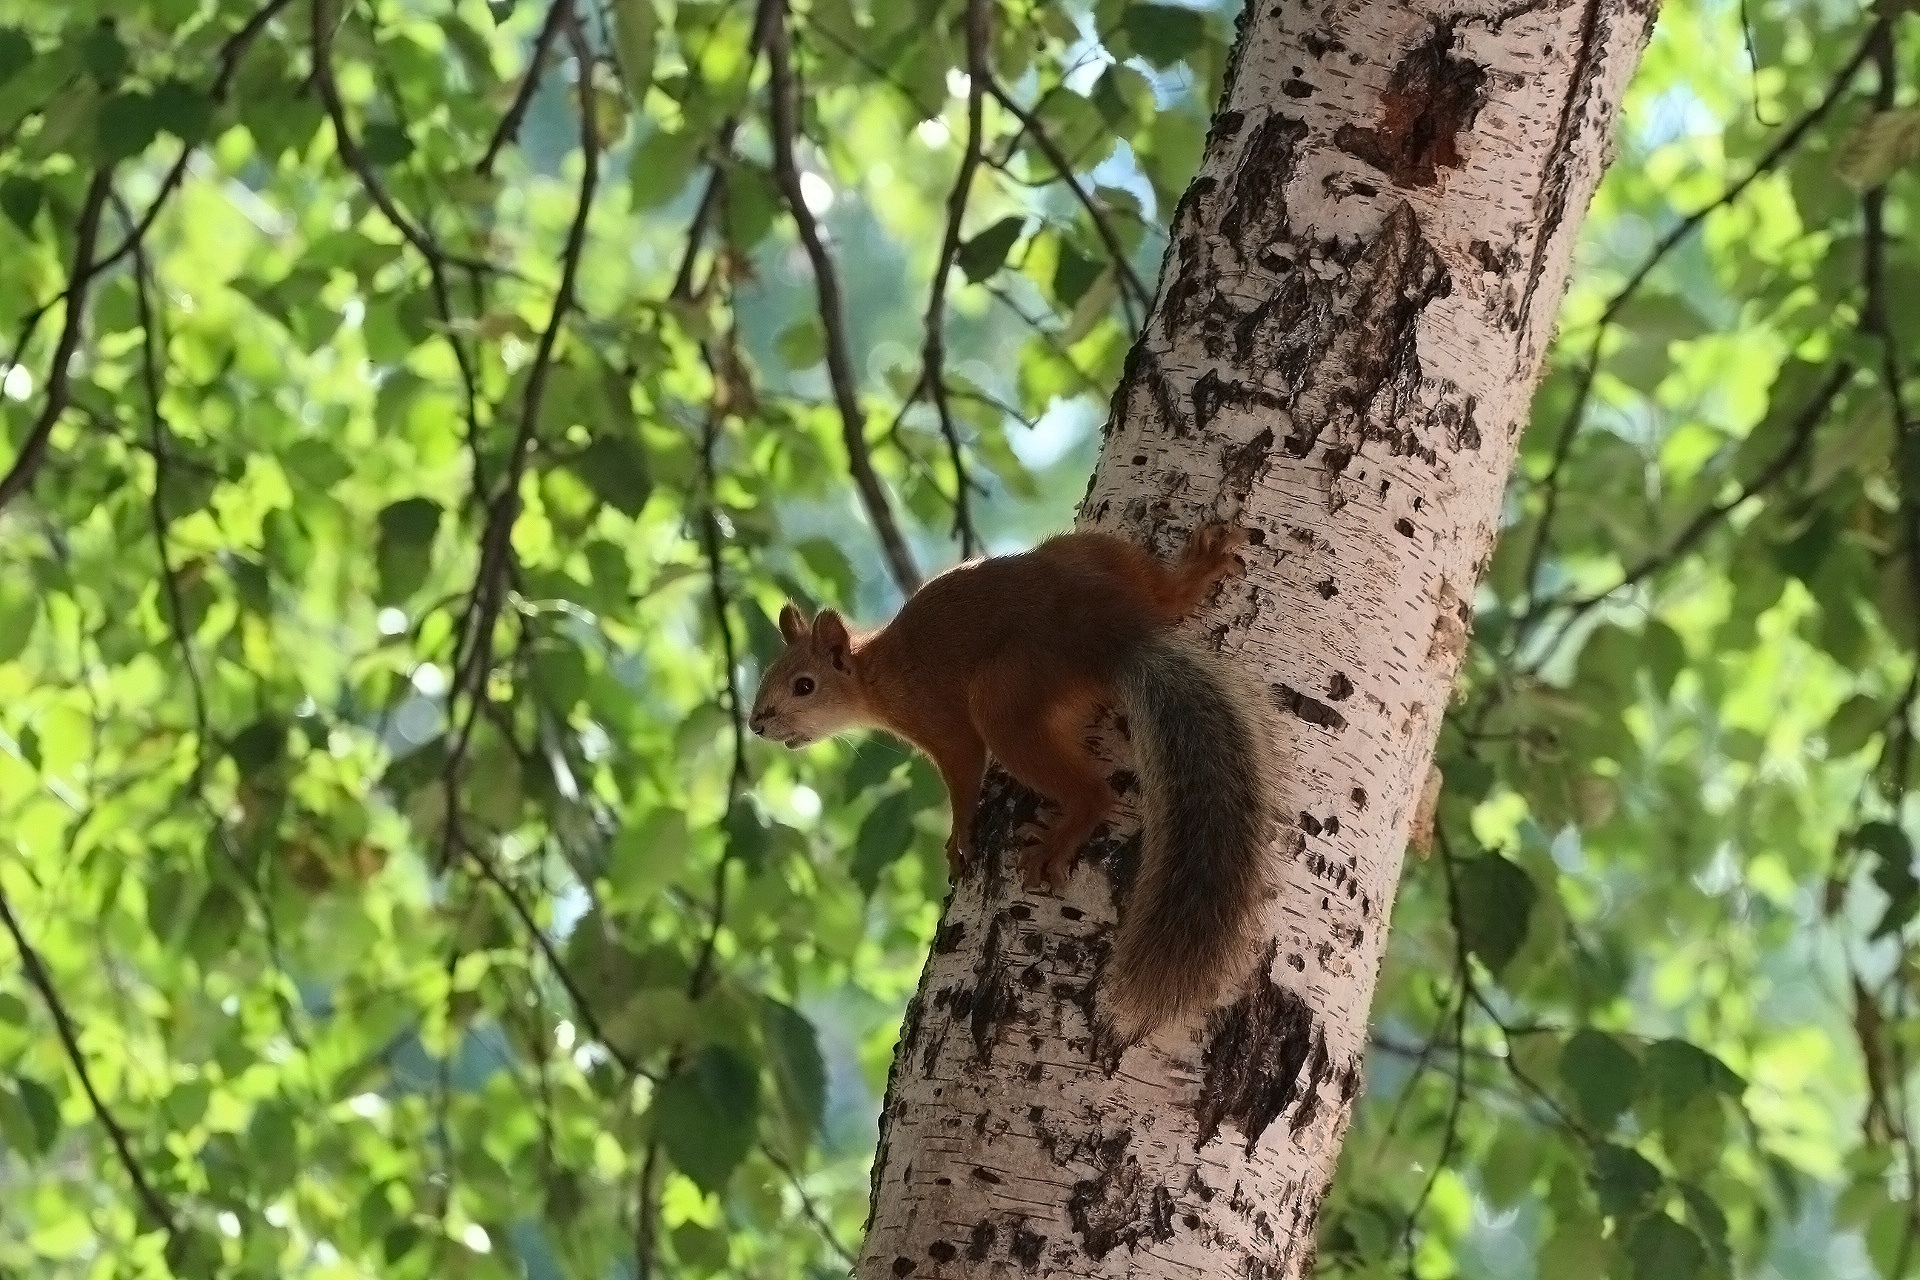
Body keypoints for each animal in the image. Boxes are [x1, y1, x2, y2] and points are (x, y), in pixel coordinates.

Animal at [744, 525, 1274, 1043]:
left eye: (804, 686)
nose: (756, 724)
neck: (875, 674)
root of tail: (1116, 636)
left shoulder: (943, 725)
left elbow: (962, 774)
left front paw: (958, 838)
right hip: (1088, 552)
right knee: (1161, 599)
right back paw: (1195, 574)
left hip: (1006, 695)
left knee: (1092, 792)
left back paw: (1057, 843)